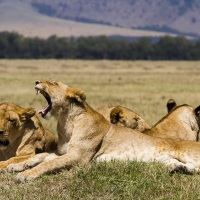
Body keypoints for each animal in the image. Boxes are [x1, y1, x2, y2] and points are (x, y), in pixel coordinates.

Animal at [7, 79, 200, 182]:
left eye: (53, 83)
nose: (37, 81)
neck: (66, 122)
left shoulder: (79, 156)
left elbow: (47, 163)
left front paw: (25, 175)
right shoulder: (64, 152)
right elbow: (41, 156)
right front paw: (16, 165)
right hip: (167, 160)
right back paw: (178, 169)